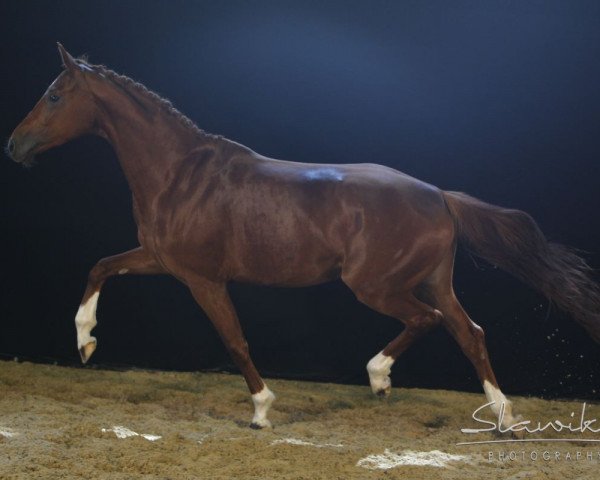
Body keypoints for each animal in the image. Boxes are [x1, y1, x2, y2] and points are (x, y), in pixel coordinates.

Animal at [5, 44, 600, 428]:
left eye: (54, 95)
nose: (13, 146)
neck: (181, 173)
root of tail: (438, 195)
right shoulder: (160, 257)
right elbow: (100, 265)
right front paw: (85, 342)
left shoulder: (202, 278)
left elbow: (235, 339)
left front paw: (262, 410)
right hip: (433, 279)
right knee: (468, 331)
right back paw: (502, 416)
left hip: (377, 286)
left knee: (429, 322)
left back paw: (381, 377)